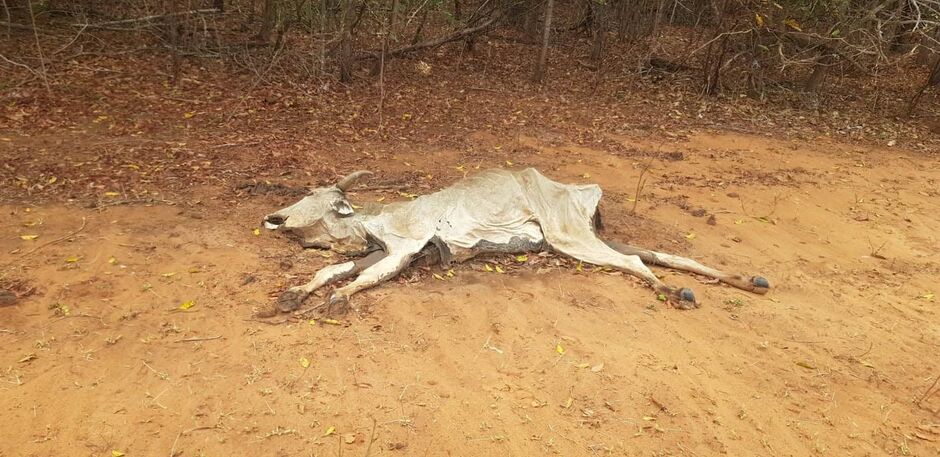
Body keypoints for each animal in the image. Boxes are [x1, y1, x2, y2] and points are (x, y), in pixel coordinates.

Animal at [264, 167, 772, 314]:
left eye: (312, 195)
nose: (274, 217)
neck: (371, 221)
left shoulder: (404, 247)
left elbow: (360, 279)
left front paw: (338, 300)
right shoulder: (377, 250)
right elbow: (330, 269)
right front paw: (293, 295)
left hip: (568, 236)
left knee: (636, 264)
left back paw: (672, 292)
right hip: (578, 237)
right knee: (662, 255)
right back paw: (745, 280)